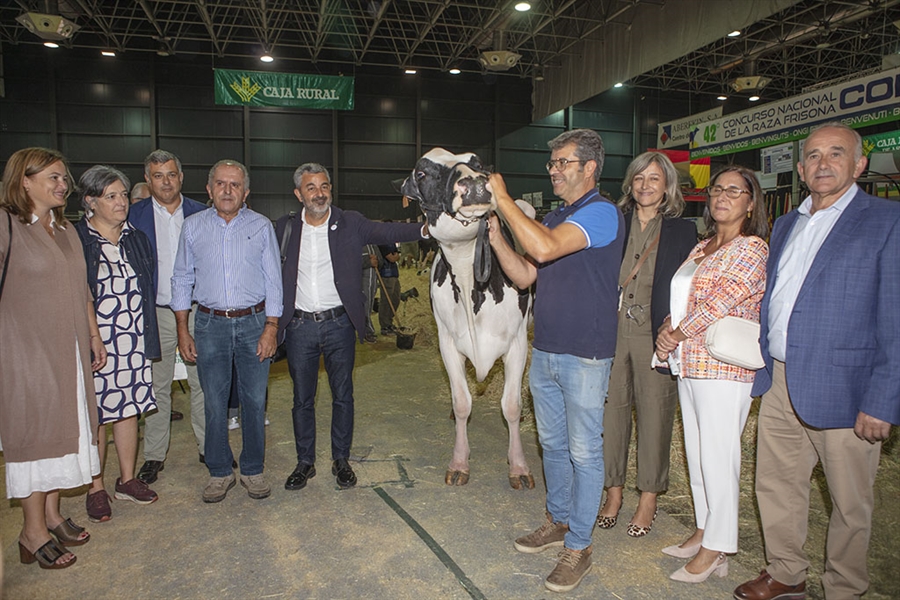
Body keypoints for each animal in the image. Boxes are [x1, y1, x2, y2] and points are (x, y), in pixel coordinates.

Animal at [400, 148, 536, 490]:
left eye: (479, 164)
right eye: (422, 173)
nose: (475, 183)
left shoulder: (517, 344)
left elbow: (510, 405)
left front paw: (519, 466)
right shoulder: (447, 343)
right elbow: (462, 402)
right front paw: (459, 462)